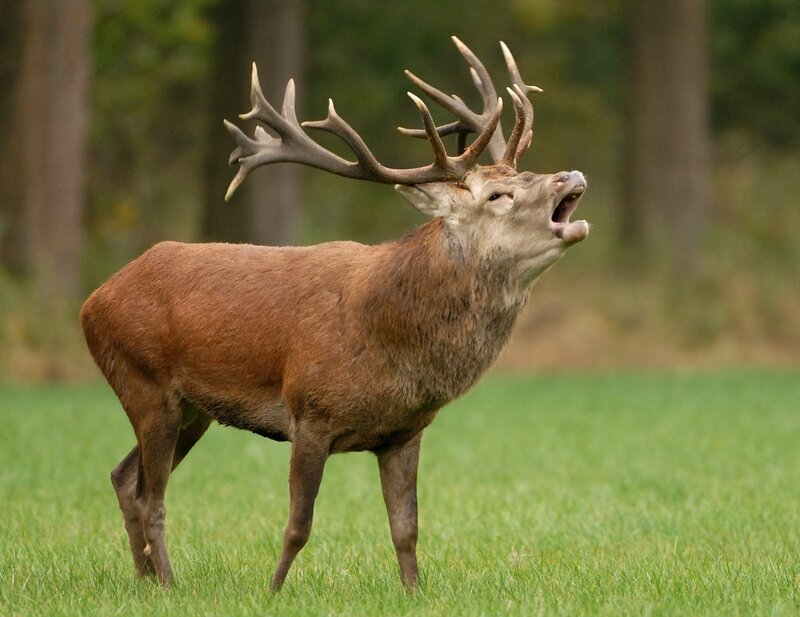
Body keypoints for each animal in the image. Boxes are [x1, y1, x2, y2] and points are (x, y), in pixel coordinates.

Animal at [80, 37, 589, 592]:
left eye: (523, 174)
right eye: (498, 195)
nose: (570, 174)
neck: (390, 338)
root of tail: (93, 300)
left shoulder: (405, 431)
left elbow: (406, 527)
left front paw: (414, 593)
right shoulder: (310, 411)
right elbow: (298, 525)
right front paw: (273, 592)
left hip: (194, 409)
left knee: (124, 477)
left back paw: (144, 581)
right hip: (145, 383)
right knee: (152, 496)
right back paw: (170, 585)